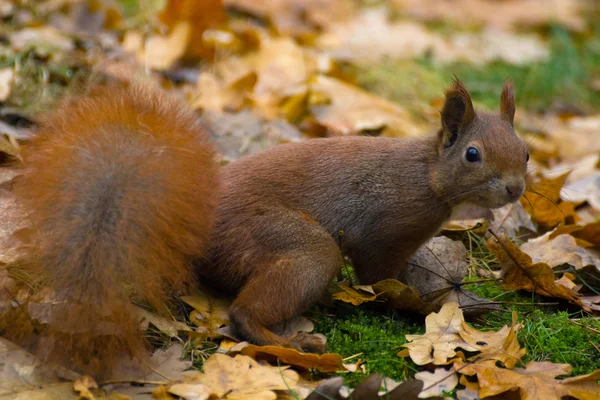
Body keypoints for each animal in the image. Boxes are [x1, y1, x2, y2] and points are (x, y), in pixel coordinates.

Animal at [4, 79, 528, 376]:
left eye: (525, 150)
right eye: (473, 154)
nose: (516, 188)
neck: (427, 178)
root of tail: (194, 226)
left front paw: (464, 299)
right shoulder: (381, 229)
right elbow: (382, 279)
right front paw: (422, 302)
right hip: (296, 246)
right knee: (243, 314)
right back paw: (294, 344)